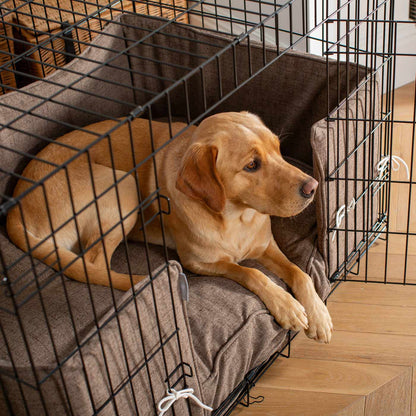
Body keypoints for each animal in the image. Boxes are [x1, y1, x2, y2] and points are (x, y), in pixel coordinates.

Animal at [5, 110, 332, 342]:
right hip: (121, 186)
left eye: (278, 148)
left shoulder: (267, 246)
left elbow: (300, 272)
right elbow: (251, 273)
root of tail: (14, 209)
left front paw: (318, 314)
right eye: (252, 165)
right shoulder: (199, 262)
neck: (234, 217)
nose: (313, 186)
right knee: (94, 264)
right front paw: (286, 305)